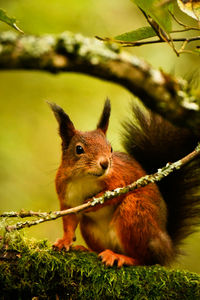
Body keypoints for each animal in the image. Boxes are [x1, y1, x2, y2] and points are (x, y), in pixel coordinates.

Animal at [48, 99, 200, 268]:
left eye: (111, 148)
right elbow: (69, 220)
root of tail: (166, 248)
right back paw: (88, 250)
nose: (105, 164)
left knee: (144, 259)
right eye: (79, 149)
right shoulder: (66, 195)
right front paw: (64, 241)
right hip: (90, 229)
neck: (85, 178)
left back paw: (120, 257)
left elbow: (114, 193)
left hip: (134, 212)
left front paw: (93, 202)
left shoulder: (118, 178)